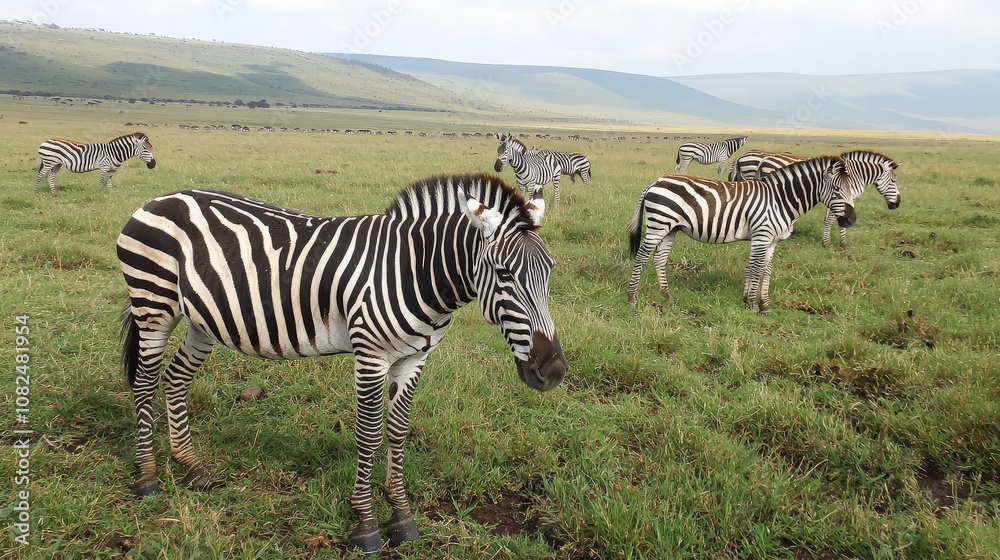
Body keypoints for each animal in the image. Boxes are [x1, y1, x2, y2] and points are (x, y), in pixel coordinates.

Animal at [117, 173, 567, 553]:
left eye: (550, 271)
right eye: (504, 273)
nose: (554, 371)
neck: (416, 270)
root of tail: (161, 198)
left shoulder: (415, 358)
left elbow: (398, 432)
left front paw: (402, 517)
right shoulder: (371, 354)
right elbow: (368, 435)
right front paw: (365, 524)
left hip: (201, 319)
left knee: (175, 379)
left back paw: (191, 467)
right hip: (153, 304)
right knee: (144, 382)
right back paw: (147, 476)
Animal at [627, 156, 857, 314]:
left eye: (851, 189)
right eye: (837, 189)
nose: (852, 219)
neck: (780, 201)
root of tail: (655, 182)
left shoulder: (772, 241)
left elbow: (765, 270)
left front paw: (763, 304)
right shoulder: (761, 235)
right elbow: (756, 268)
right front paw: (752, 303)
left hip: (670, 228)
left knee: (659, 259)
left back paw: (667, 296)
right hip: (659, 224)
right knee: (641, 256)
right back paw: (631, 298)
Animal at [751, 150, 902, 249]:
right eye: (893, 181)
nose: (897, 203)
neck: (856, 174)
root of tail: (764, 159)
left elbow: (830, 219)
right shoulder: (843, 197)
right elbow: (832, 219)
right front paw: (837, 245)